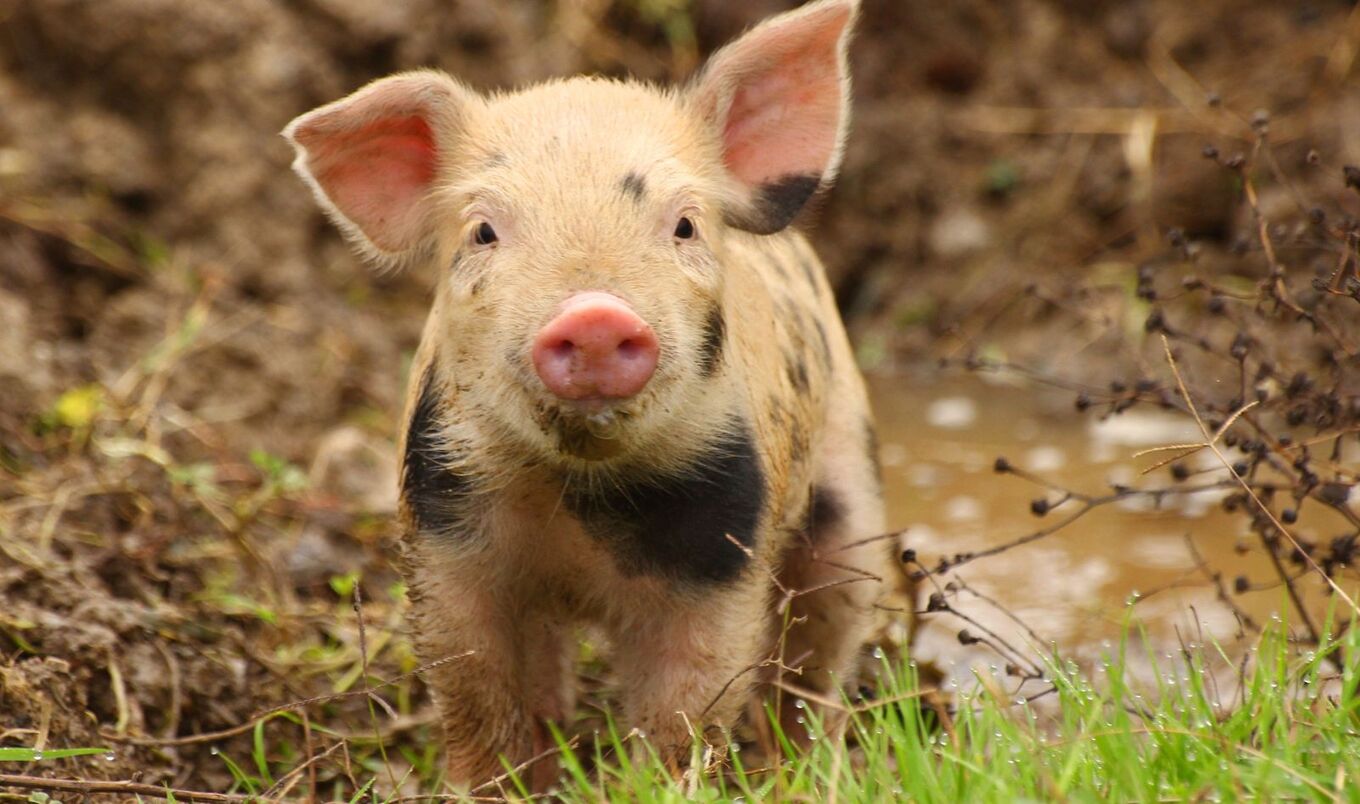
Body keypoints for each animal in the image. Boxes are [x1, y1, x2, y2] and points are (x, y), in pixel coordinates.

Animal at [283, 0, 906, 788]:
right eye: (482, 231)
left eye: (685, 224)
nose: (595, 314)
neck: (579, 500)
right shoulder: (444, 534)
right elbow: (474, 692)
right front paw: (492, 789)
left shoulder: (722, 552)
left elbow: (686, 707)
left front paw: (659, 787)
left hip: (851, 484)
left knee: (818, 659)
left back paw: (806, 776)